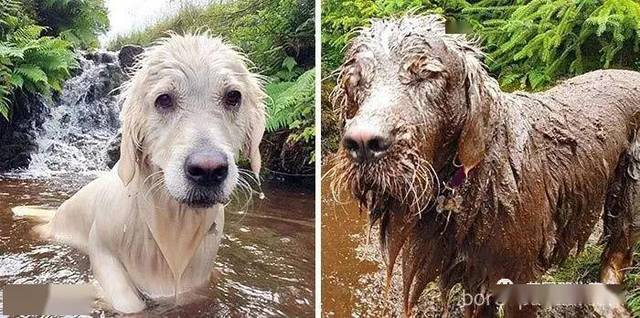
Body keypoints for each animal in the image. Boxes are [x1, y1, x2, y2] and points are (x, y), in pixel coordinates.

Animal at [36, 33, 266, 312]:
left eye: (233, 97)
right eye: (164, 100)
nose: (208, 170)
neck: (172, 218)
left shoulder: (195, 278)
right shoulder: (103, 250)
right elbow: (128, 303)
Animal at [330, 14, 640, 318]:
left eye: (427, 75)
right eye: (355, 82)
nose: (363, 144)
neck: (478, 177)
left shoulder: (520, 274)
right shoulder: (474, 273)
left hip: (632, 188)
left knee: (619, 246)